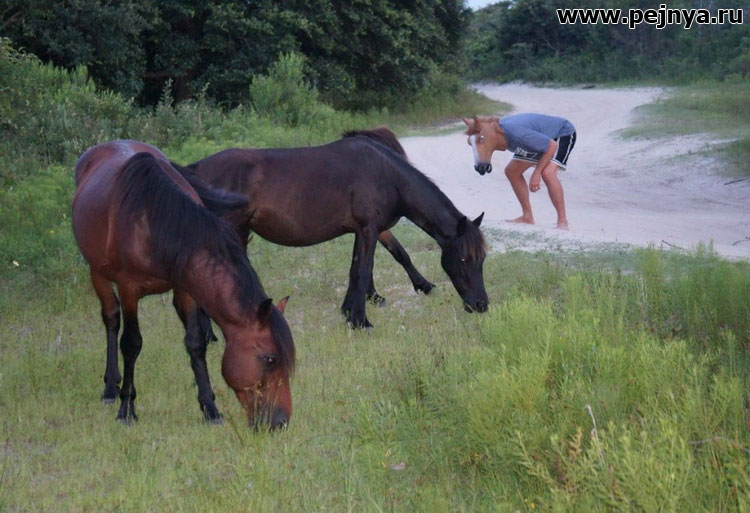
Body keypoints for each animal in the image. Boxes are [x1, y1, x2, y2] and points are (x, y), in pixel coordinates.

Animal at [72, 140, 295, 429]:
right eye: (270, 359)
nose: (280, 421)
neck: (155, 223)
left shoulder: (187, 288)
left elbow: (196, 342)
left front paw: (210, 407)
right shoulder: (129, 288)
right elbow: (131, 344)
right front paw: (127, 409)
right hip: (97, 272)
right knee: (111, 319)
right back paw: (111, 387)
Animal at [182, 128, 489, 328]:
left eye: (483, 258)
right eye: (464, 259)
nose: (481, 305)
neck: (387, 174)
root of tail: (194, 170)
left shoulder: (361, 231)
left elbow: (357, 270)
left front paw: (349, 313)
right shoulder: (368, 229)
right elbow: (364, 271)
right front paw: (360, 321)